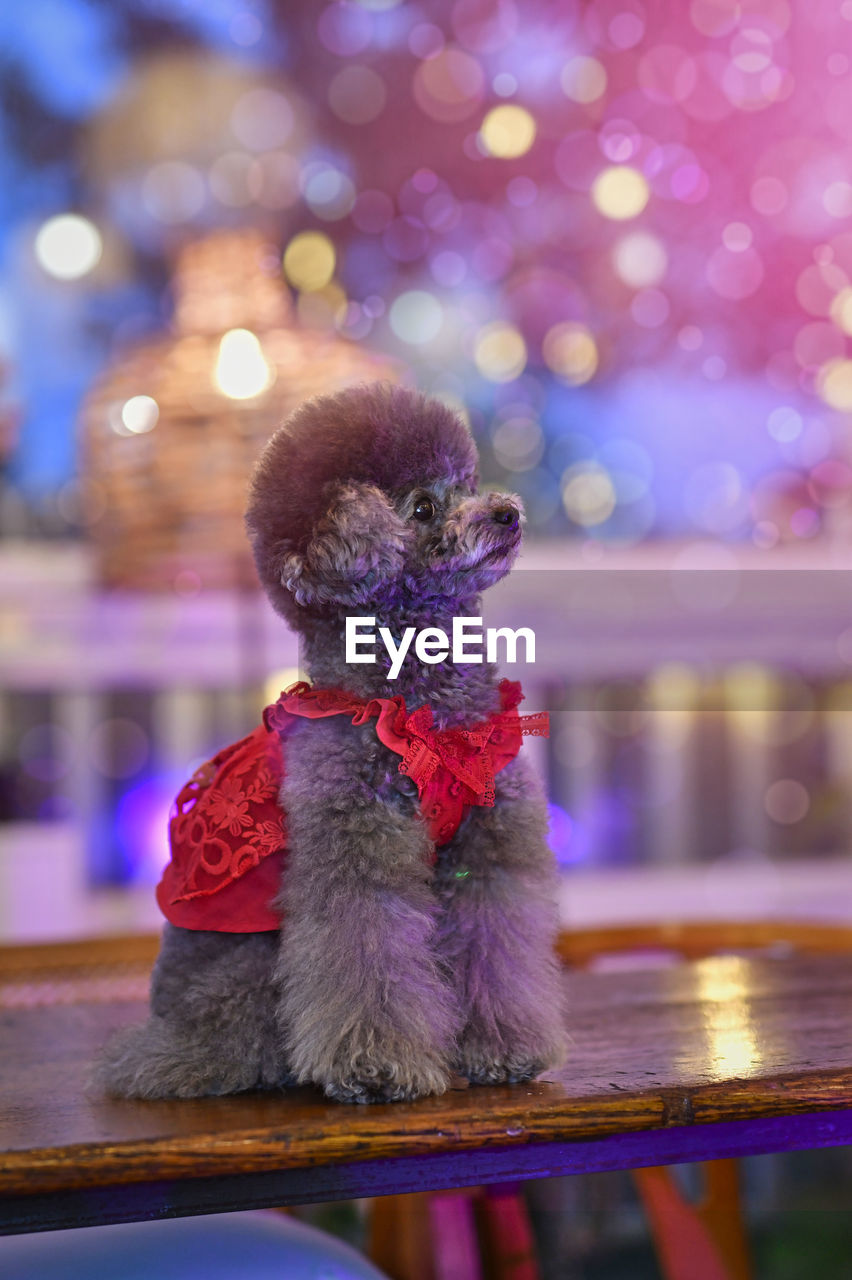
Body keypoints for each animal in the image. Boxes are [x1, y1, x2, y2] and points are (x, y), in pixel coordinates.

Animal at [99, 378, 562, 1100]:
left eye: (467, 483)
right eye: (424, 507)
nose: (507, 512)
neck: (420, 710)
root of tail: (162, 1036)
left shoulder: (488, 844)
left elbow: (495, 938)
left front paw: (503, 1051)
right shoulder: (355, 843)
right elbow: (364, 949)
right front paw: (375, 1070)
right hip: (244, 971)